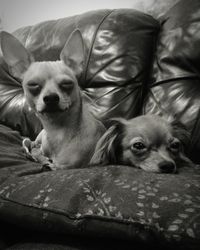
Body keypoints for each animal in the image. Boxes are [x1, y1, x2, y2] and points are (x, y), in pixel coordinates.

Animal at [0, 29, 104, 170]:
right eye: (33, 85)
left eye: (67, 83)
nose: (51, 97)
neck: (57, 132)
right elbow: (37, 151)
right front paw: (40, 157)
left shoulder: (66, 166)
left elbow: (56, 164)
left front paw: (45, 161)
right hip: (39, 136)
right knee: (32, 144)